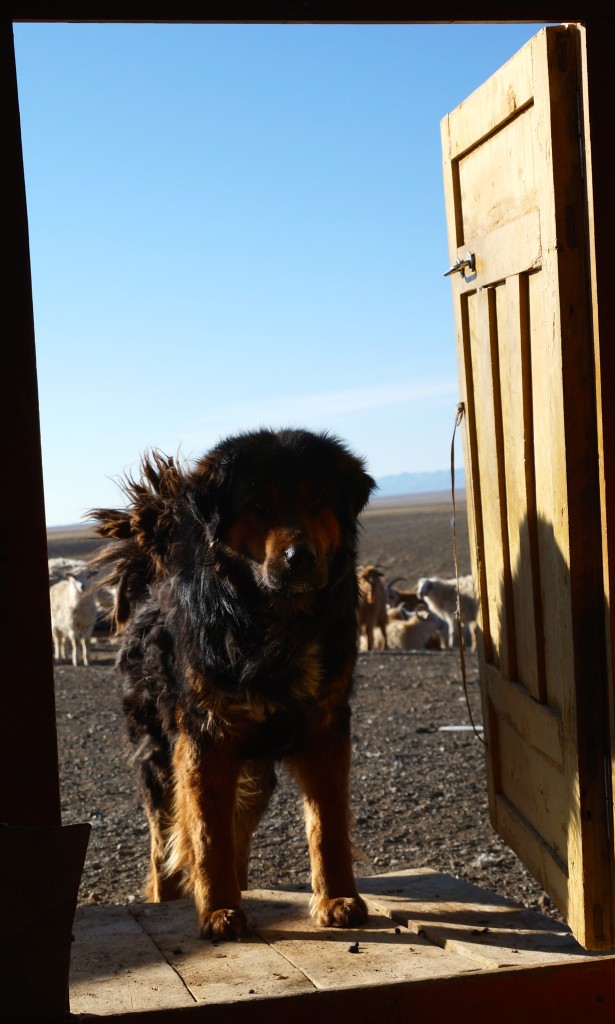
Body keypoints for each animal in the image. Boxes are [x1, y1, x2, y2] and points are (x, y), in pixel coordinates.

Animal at [90, 428, 374, 937]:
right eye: (258, 504)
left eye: (318, 501)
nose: (299, 558)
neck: (274, 625)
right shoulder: (205, 738)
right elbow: (207, 834)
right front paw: (218, 910)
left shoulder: (325, 729)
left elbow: (327, 824)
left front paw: (338, 897)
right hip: (159, 761)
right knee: (164, 848)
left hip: (253, 771)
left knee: (238, 827)